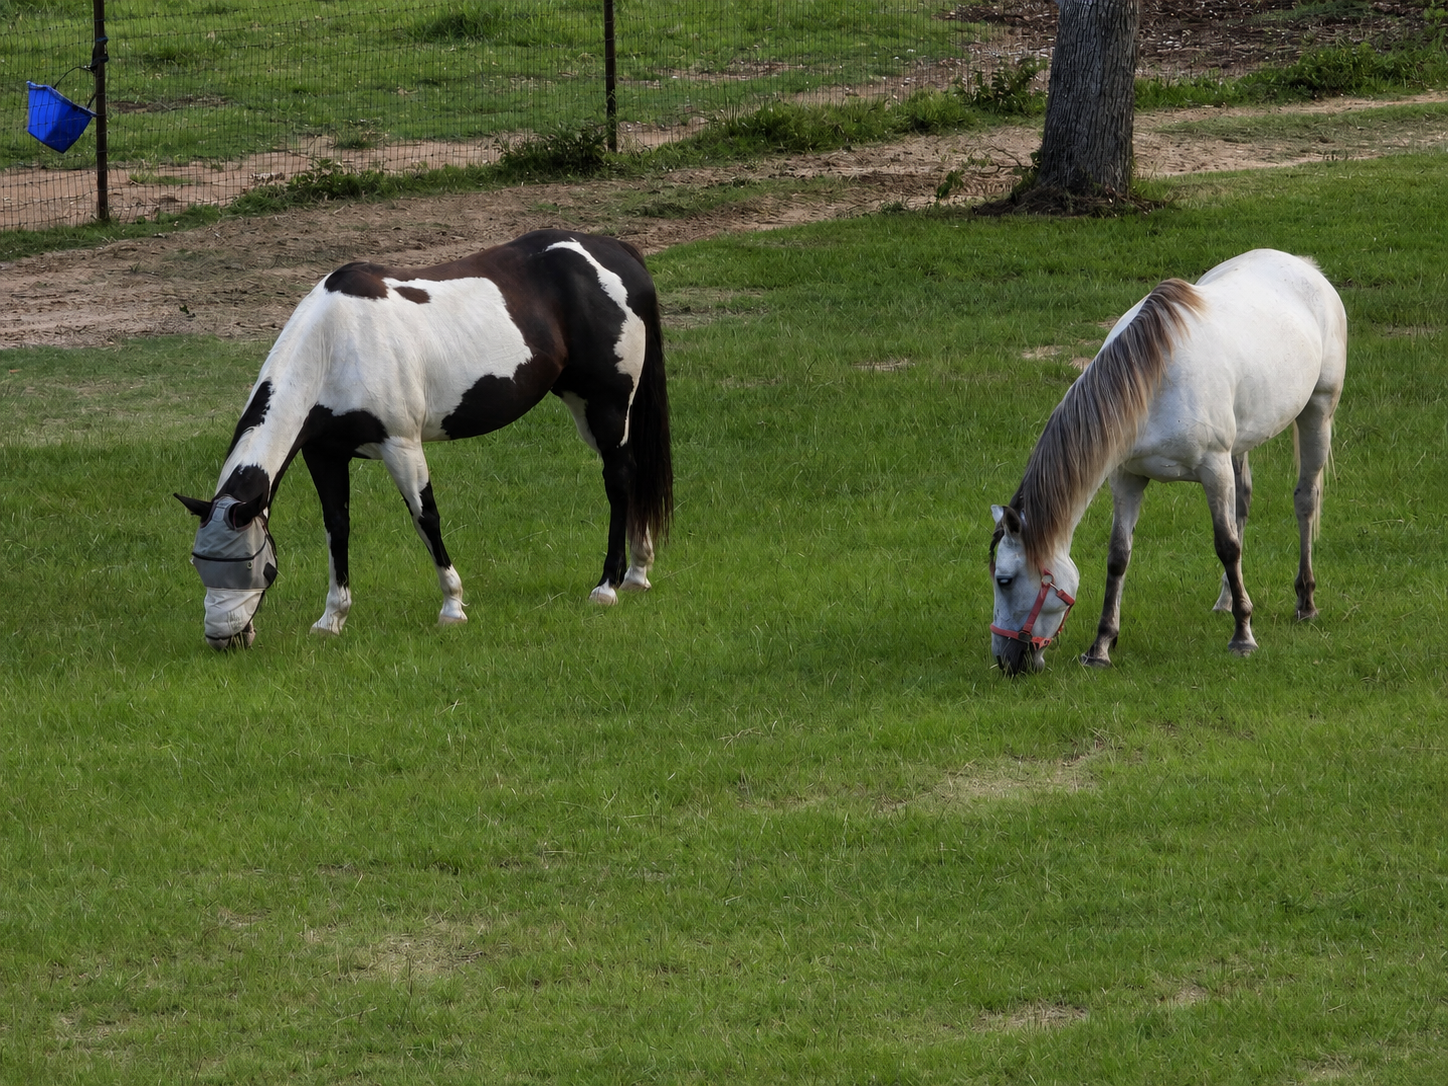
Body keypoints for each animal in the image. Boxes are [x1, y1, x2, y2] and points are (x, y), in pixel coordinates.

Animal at [175, 229, 673, 650]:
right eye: (200, 563)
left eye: (255, 565)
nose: (222, 639)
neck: (335, 342)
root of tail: (615, 250)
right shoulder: (324, 455)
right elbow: (337, 528)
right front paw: (332, 619)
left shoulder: (402, 446)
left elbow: (426, 519)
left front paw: (452, 607)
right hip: (588, 409)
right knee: (632, 474)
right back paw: (638, 571)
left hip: (607, 406)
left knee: (618, 480)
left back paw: (607, 586)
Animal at [988, 248, 1346, 676]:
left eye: (1005, 580)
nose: (1006, 660)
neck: (1152, 381)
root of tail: (1305, 266)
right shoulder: (1127, 477)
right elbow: (1118, 556)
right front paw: (1101, 646)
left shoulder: (1213, 469)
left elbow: (1226, 546)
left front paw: (1243, 636)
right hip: (1240, 443)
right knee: (1243, 503)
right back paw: (1227, 599)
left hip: (1317, 411)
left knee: (1304, 500)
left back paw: (1304, 602)